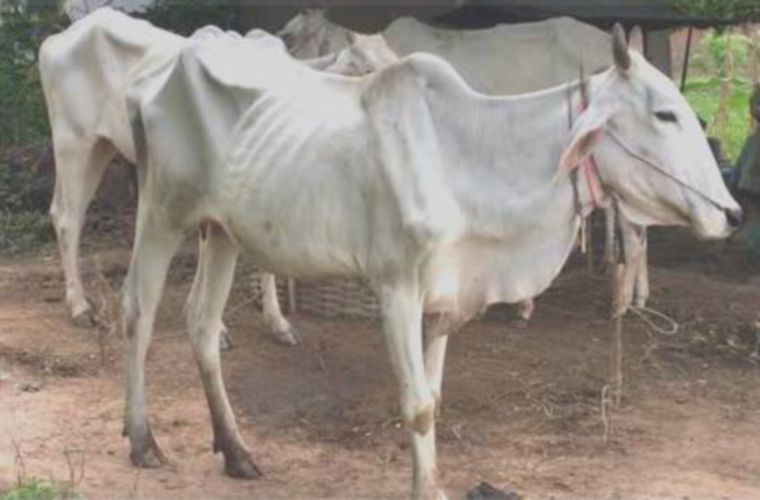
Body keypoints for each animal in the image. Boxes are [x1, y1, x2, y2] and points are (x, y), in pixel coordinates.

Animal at [39, 8, 395, 347]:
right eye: (364, 67)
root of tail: (56, 41)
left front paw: (277, 323)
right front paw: (218, 330)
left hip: (103, 146)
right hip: (74, 143)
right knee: (68, 218)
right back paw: (80, 307)